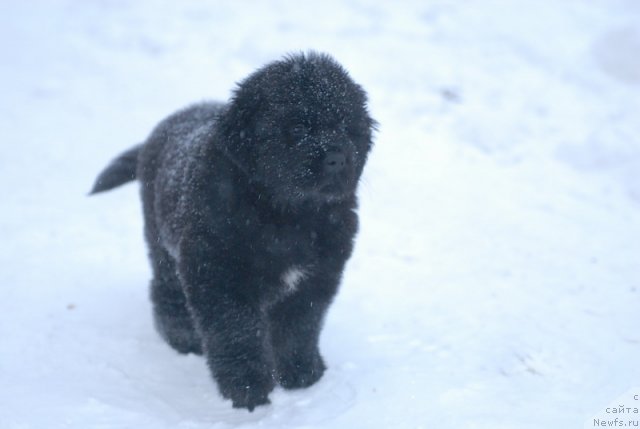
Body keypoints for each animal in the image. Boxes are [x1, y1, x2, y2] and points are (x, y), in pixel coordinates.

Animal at [90, 51, 376, 410]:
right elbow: (236, 332)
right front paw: (248, 387)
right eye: (298, 127)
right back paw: (182, 336)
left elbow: (299, 328)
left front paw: (301, 373)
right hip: (162, 241)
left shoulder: (317, 277)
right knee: (165, 289)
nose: (337, 158)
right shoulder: (220, 274)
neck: (288, 216)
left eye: (345, 126)